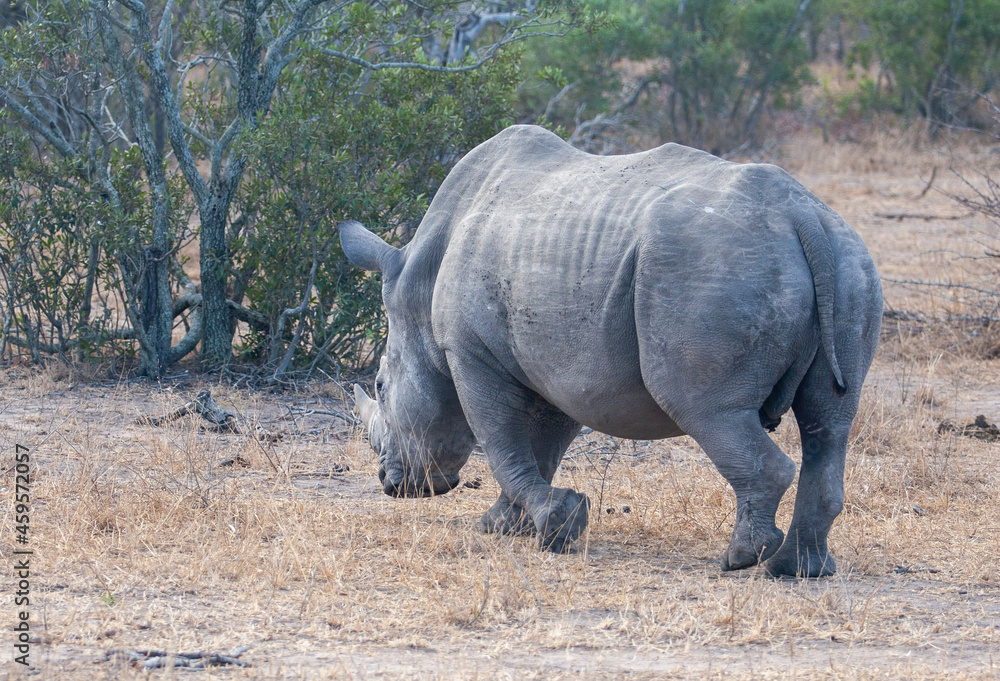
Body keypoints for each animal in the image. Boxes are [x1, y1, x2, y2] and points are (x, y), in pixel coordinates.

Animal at [342, 125, 881, 577]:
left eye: (380, 386)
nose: (390, 482)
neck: (419, 281)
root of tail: (801, 214)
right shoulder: (558, 366)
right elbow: (541, 446)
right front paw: (507, 525)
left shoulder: (470, 352)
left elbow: (499, 440)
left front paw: (553, 524)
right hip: (850, 263)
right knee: (829, 423)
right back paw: (799, 569)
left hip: (710, 269)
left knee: (708, 409)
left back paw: (741, 559)